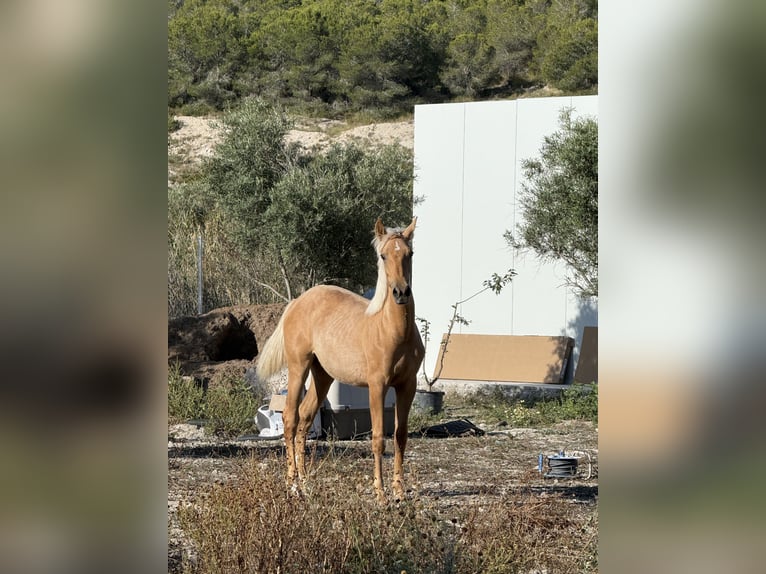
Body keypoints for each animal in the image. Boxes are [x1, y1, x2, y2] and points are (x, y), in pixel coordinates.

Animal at [256, 217, 424, 502]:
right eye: (383, 255)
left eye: (410, 253)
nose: (401, 292)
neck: (392, 331)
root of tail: (297, 302)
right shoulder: (377, 386)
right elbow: (378, 438)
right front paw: (380, 494)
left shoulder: (407, 386)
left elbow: (400, 436)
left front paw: (400, 492)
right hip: (299, 367)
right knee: (290, 418)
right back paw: (292, 485)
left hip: (322, 375)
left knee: (305, 418)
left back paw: (305, 483)